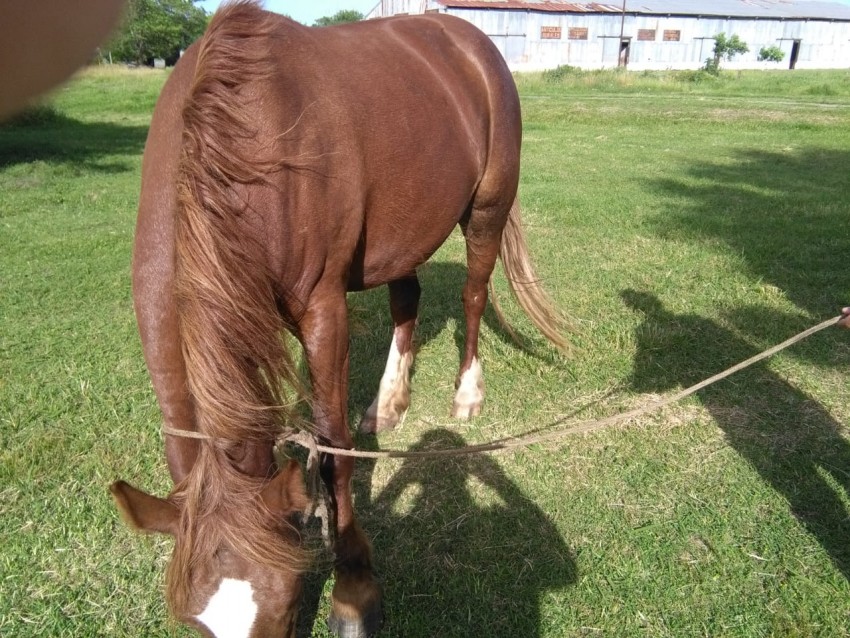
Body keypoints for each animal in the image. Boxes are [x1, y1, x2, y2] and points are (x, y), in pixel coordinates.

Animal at [109, 2, 568, 636]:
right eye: (193, 623)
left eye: (284, 609)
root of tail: (467, 40)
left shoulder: (323, 311)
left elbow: (333, 451)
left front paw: (353, 588)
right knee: (407, 299)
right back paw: (390, 403)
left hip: (487, 208)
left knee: (474, 295)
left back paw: (467, 393)